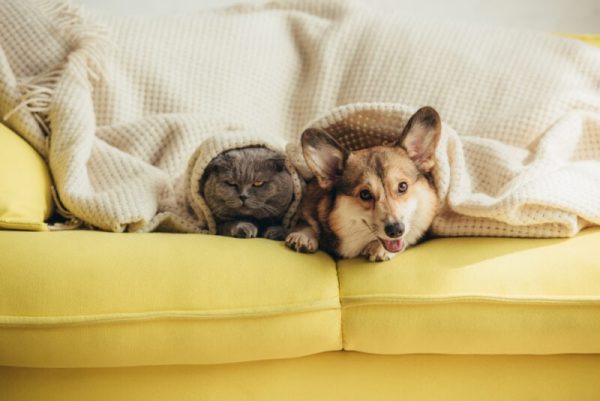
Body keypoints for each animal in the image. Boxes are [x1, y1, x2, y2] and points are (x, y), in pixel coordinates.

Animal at [286, 105, 440, 260]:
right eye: (365, 194)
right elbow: (305, 223)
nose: (396, 230)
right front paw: (302, 236)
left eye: (403, 186)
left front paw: (379, 248)